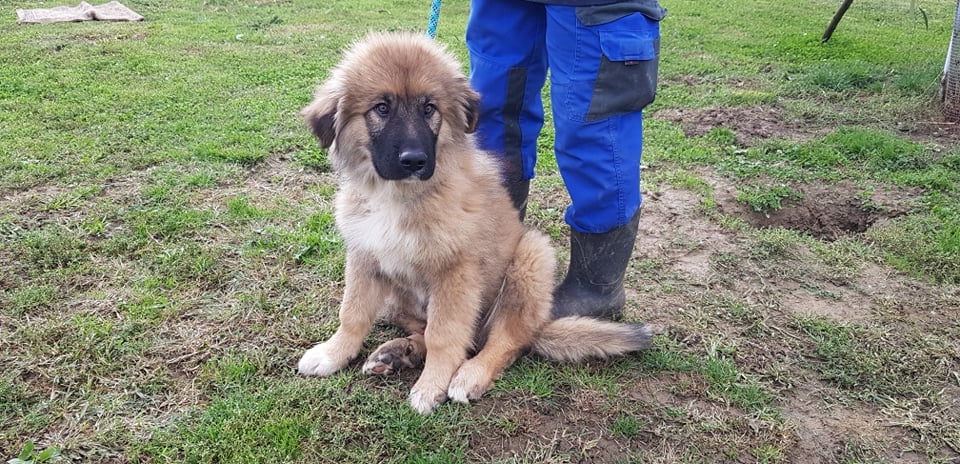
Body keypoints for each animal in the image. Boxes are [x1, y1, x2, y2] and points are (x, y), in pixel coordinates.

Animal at [296, 32, 652, 414]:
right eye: (381, 108)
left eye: (429, 108)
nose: (414, 161)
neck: (401, 195)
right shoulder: (365, 255)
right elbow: (353, 313)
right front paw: (333, 354)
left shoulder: (456, 271)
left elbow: (445, 334)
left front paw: (432, 385)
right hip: (398, 297)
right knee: (441, 333)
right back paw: (399, 352)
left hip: (530, 257)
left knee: (504, 340)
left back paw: (469, 373)